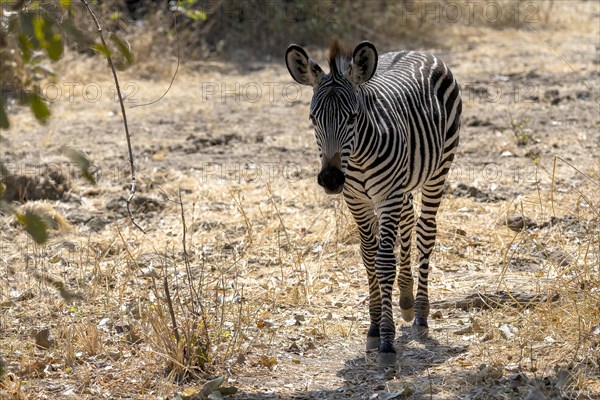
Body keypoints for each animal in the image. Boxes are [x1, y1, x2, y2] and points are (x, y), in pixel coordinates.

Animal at [286, 39, 464, 366]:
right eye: (313, 119)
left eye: (353, 117)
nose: (331, 179)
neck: (355, 158)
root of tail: (418, 50)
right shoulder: (357, 200)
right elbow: (369, 258)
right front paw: (373, 328)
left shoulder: (387, 196)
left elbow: (383, 262)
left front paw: (387, 341)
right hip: (401, 184)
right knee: (408, 217)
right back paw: (405, 298)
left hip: (438, 168)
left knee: (425, 230)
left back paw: (421, 313)